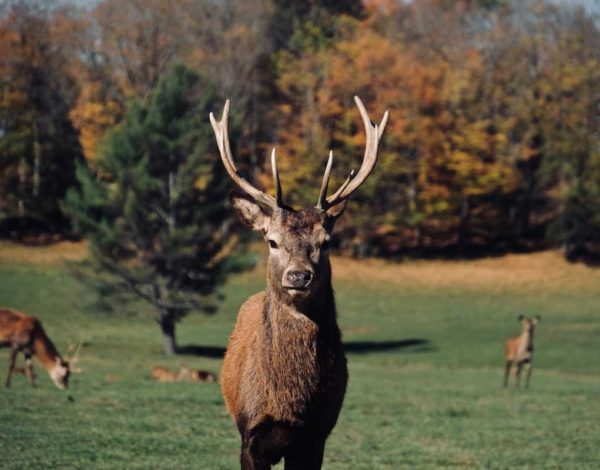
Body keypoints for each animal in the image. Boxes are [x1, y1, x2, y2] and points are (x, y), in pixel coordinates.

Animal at [211, 96, 390, 470]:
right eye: (271, 241)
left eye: (326, 241)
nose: (298, 275)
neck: (290, 404)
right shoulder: (250, 433)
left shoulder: (316, 436)